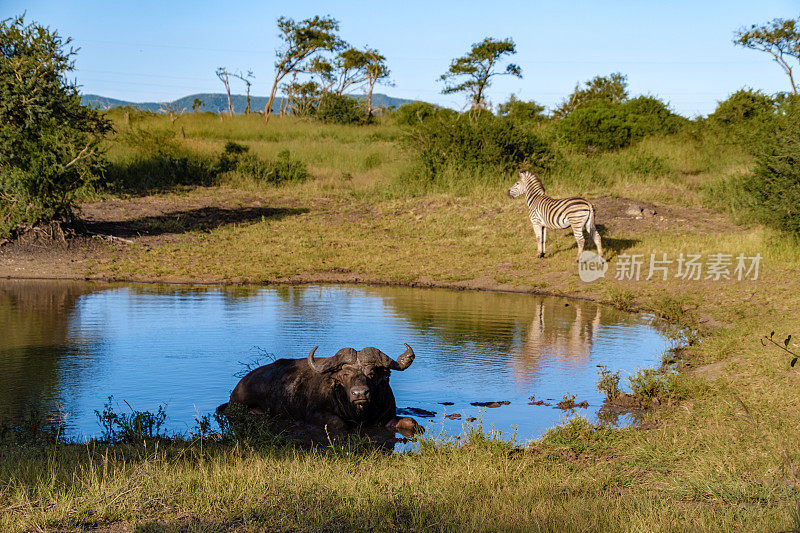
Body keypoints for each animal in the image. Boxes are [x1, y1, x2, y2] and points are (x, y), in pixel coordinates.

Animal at [219, 342, 418, 438]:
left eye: (372, 372)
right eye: (345, 373)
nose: (360, 393)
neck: (360, 413)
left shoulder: (386, 415)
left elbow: (411, 422)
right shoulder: (315, 415)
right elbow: (340, 424)